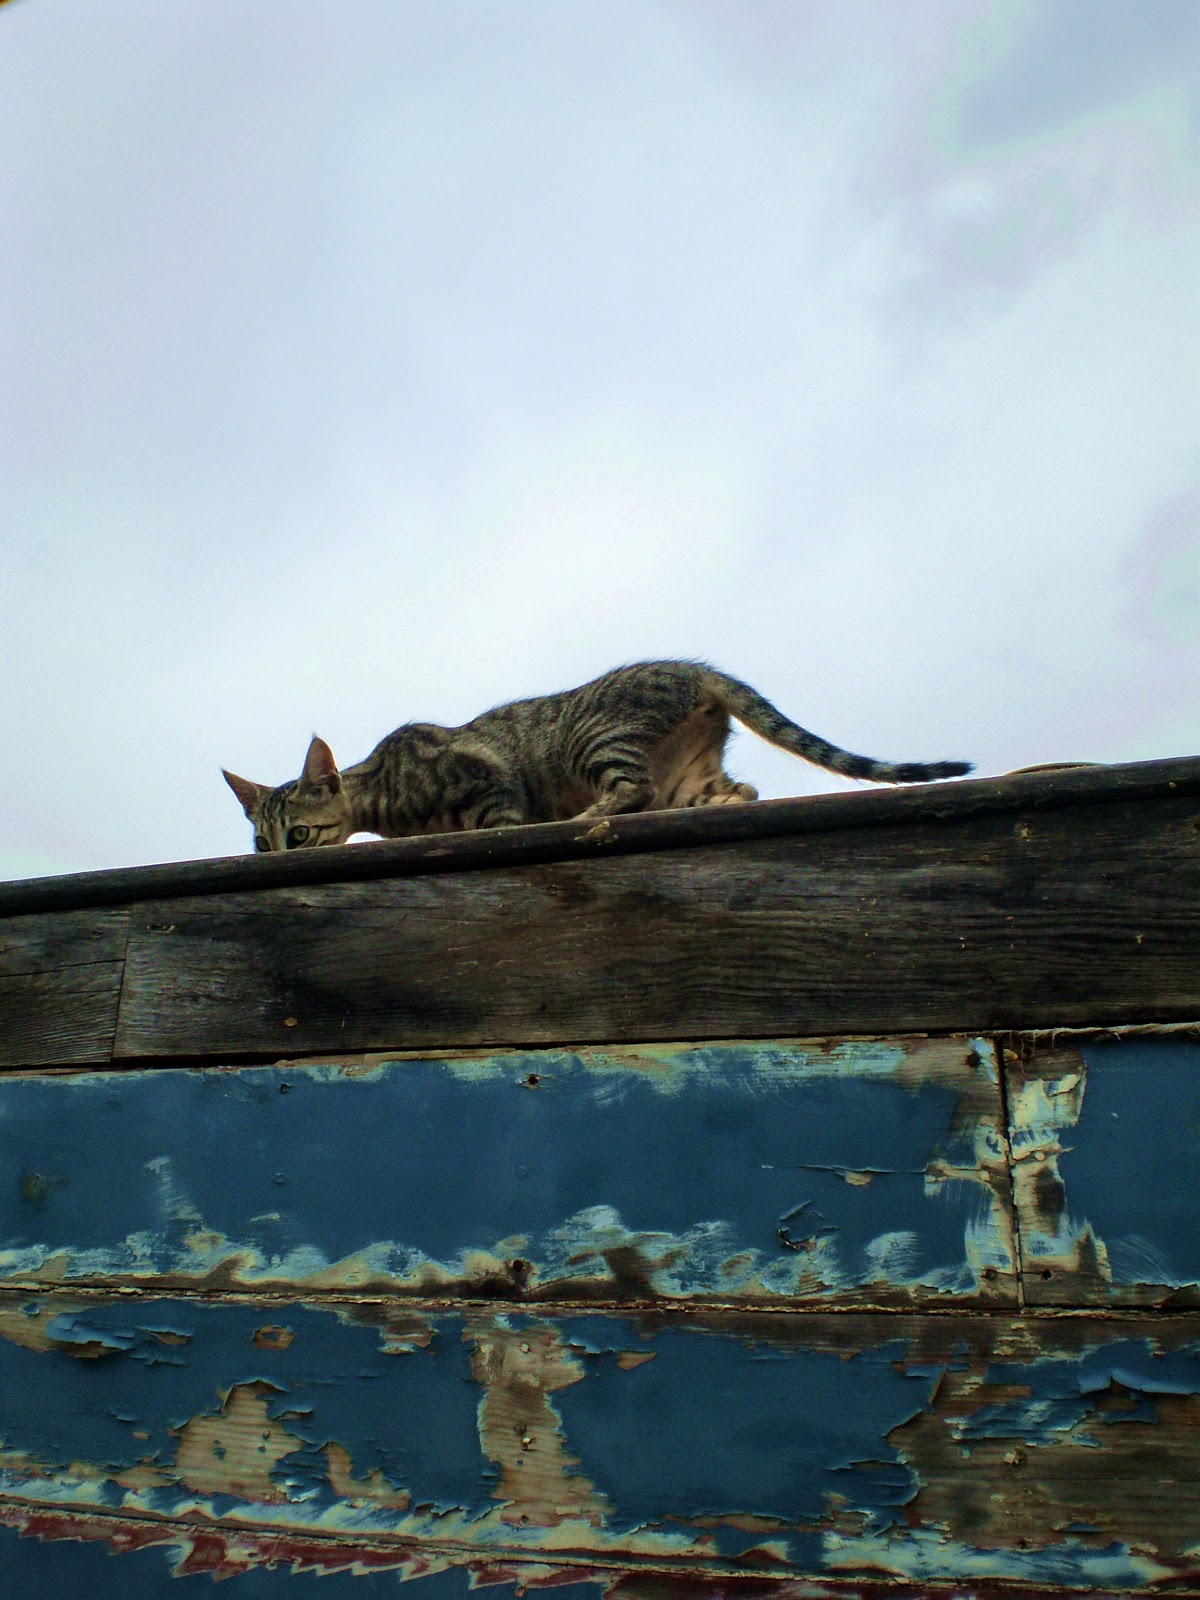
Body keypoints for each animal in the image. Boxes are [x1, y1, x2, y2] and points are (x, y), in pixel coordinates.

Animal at [223, 660, 971, 852]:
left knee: (628, 790)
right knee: (740, 794)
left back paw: (587, 817)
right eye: (262, 844)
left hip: (593, 737)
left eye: (298, 835)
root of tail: (698, 671)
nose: (275, 859)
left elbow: (502, 819)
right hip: (689, 780)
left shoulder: (490, 786)